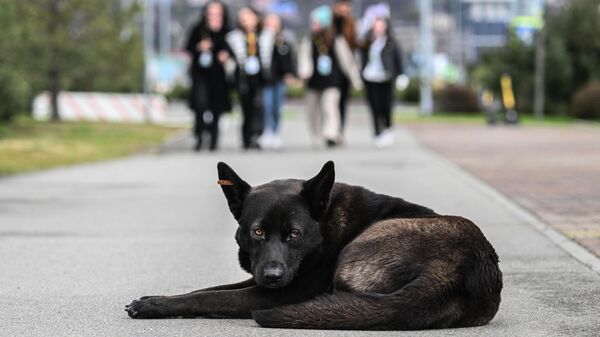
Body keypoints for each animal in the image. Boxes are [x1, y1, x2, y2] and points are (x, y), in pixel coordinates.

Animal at [126, 160, 502, 328]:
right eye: (257, 232)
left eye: (294, 234)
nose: (273, 276)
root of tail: (458, 270)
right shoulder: (259, 277)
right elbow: (207, 290)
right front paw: (155, 299)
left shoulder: (278, 291)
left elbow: (213, 297)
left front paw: (153, 306)